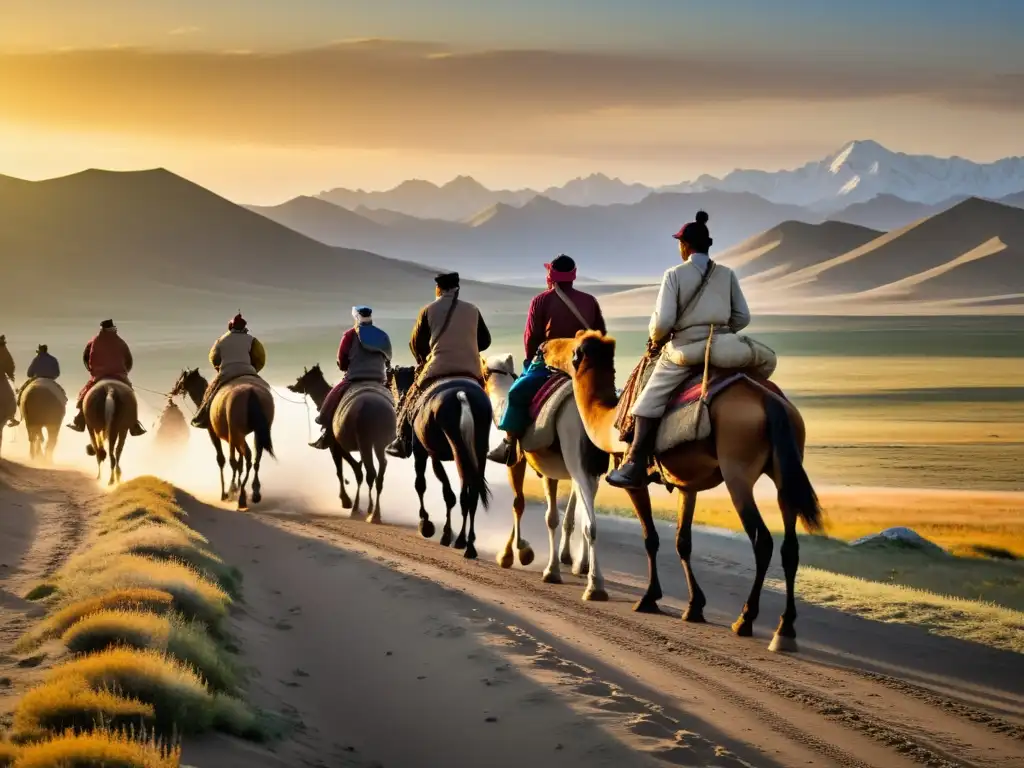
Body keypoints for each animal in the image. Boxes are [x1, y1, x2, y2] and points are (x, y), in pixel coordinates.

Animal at [173, 368, 276, 512]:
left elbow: (222, 459)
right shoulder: (238, 437)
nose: (175, 388)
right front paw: (236, 486)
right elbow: (240, 462)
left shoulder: (214, 432)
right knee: (255, 457)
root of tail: (251, 393)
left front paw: (226, 493)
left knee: (243, 457)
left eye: (181, 378)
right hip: (258, 429)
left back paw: (239, 497)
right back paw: (254, 493)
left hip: (234, 427)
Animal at [292, 364, 399, 524]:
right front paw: (355, 505)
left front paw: (348, 502)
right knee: (380, 471)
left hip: (365, 441)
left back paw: (369, 511)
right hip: (378, 443)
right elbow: (357, 470)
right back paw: (375, 514)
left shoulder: (335, 446)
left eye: (303, 379)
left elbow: (345, 471)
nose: (292, 387)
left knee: (370, 472)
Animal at [387, 366, 491, 561]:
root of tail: (462, 395)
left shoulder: (424, 453)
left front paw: (427, 525)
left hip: (457, 450)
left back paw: (463, 543)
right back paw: (467, 543)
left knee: (462, 495)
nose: (397, 404)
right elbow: (452, 495)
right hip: (477, 452)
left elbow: (424, 486)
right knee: (471, 496)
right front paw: (449, 534)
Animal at [479, 354, 606, 602]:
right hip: (590, 469)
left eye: (484, 371)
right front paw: (566, 561)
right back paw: (590, 575)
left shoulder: (522, 460)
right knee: (590, 519)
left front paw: (519, 556)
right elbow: (563, 516)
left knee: (590, 523)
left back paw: (593, 586)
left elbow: (527, 507)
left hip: (574, 452)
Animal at [544, 331, 823, 655]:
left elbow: (650, 538)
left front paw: (649, 598)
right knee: (790, 547)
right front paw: (694, 607)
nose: (544, 348)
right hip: (785, 471)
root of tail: (770, 400)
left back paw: (745, 619)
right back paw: (784, 630)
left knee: (762, 540)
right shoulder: (687, 486)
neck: (609, 422)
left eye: (568, 346)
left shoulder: (634, 480)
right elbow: (682, 542)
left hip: (737, 471)